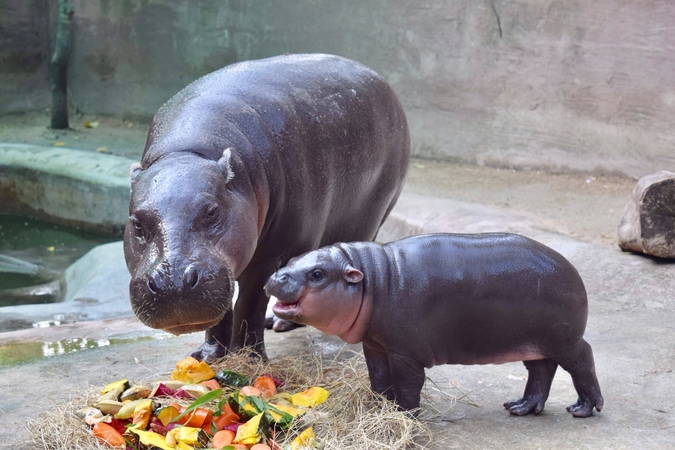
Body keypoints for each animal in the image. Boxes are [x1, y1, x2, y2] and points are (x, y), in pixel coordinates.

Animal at [123, 54, 410, 362]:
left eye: (212, 211)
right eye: (136, 223)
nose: (173, 281)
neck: (188, 152)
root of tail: (378, 78)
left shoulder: (266, 257)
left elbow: (249, 306)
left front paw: (249, 359)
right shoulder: (224, 264)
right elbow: (223, 311)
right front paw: (208, 357)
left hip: (371, 216)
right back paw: (278, 323)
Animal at [264, 233, 604, 417]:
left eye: (317, 274)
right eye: (291, 260)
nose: (275, 277)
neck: (374, 280)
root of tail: (572, 270)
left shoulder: (405, 353)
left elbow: (408, 384)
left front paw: (406, 415)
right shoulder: (375, 345)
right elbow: (379, 379)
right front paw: (379, 408)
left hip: (564, 340)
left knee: (583, 360)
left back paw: (583, 409)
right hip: (532, 343)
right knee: (541, 370)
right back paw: (520, 407)